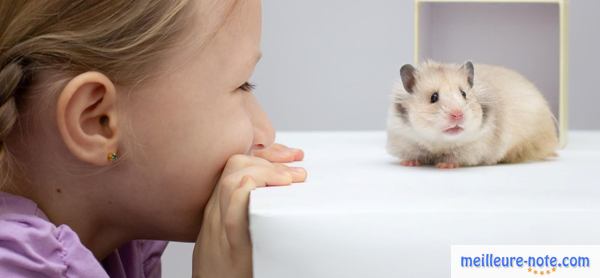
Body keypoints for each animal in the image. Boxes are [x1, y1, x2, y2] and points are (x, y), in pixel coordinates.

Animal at [386, 60, 560, 168]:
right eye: (433, 97)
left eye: (464, 94)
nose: (458, 115)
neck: (438, 144)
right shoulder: (404, 139)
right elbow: (411, 155)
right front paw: (408, 163)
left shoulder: (474, 147)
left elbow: (456, 158)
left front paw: (444, 165)